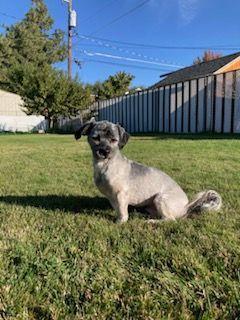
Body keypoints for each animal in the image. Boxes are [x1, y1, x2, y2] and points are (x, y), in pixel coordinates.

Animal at [74, 117, 221, 222]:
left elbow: (122, 213)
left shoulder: (121, 195)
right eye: (95, 138)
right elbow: (117, 209)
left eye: (114, 140)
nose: (104, 151)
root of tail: (186, 207)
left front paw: (120, 222)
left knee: (170, 220)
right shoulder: (111, 197)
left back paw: (152, 222)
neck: (106, 165)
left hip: (160, 198)